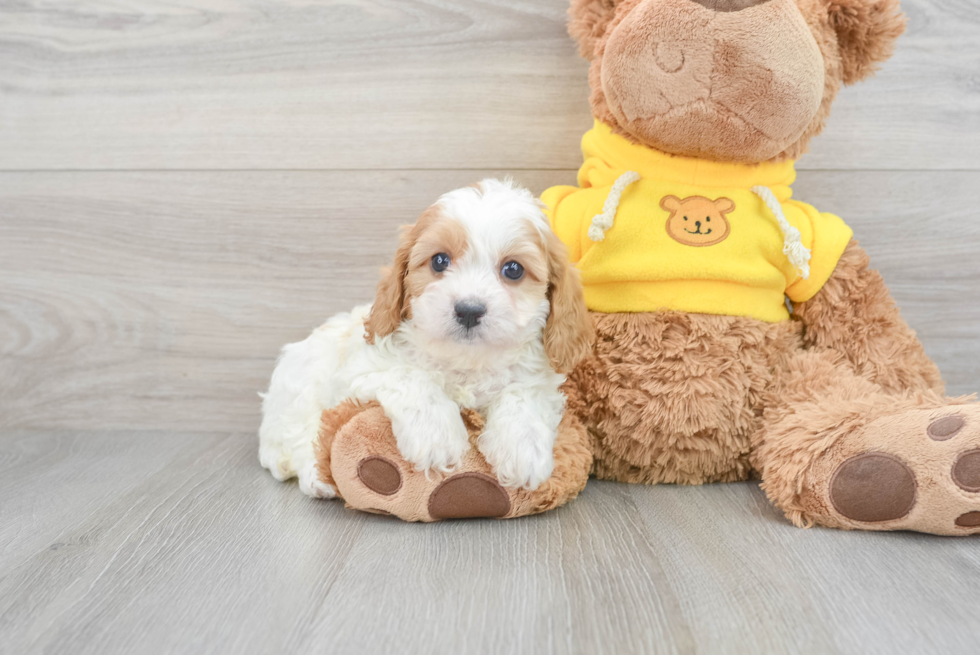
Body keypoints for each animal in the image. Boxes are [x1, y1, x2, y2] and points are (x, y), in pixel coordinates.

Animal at [258, 179, 588, 498]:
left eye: (514, 269)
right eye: (440, 261)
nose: (469, 310)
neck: (466, 360)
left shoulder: (540, 379)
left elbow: (524, 393)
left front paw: (523, 449)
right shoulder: (361, 371)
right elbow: (411, 377)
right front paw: (436, 436)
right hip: (300, 390)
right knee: (299, 438)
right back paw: (317, 478)